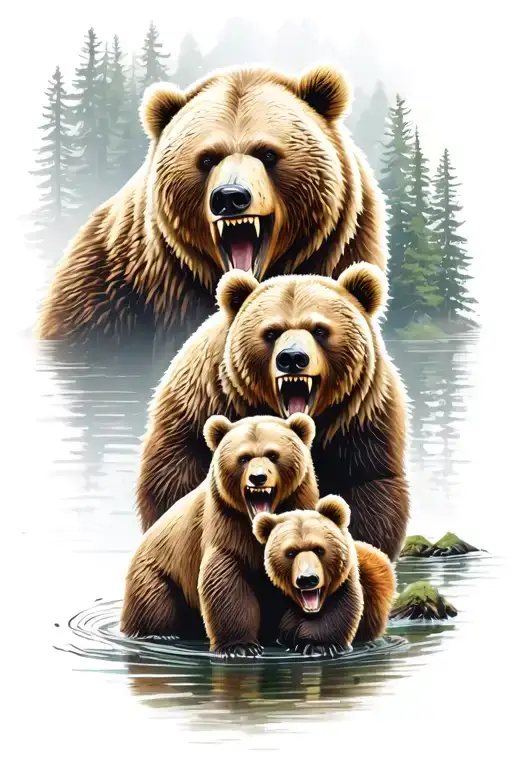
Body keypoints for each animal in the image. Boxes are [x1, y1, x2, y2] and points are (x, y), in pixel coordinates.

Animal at [120, 412, 319, 658]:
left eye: (273, 455)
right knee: (154, 602)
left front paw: (309, 641)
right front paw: (240, 646)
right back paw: (159, 634)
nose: (258, 477)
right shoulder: (226, 527)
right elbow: (226, 579)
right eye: (243, 458)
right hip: (157, 574)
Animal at [136, 262, 410, 563]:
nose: (292, 358)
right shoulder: (208, 403)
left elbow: (367, 485)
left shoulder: (360, 420)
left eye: (319, 329)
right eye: (271, 332)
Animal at [252, 495, 396, 657]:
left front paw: (319, 646)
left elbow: (338, 612)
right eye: (290, 552)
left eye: (319, 549)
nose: (307, 579)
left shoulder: (344, 583)